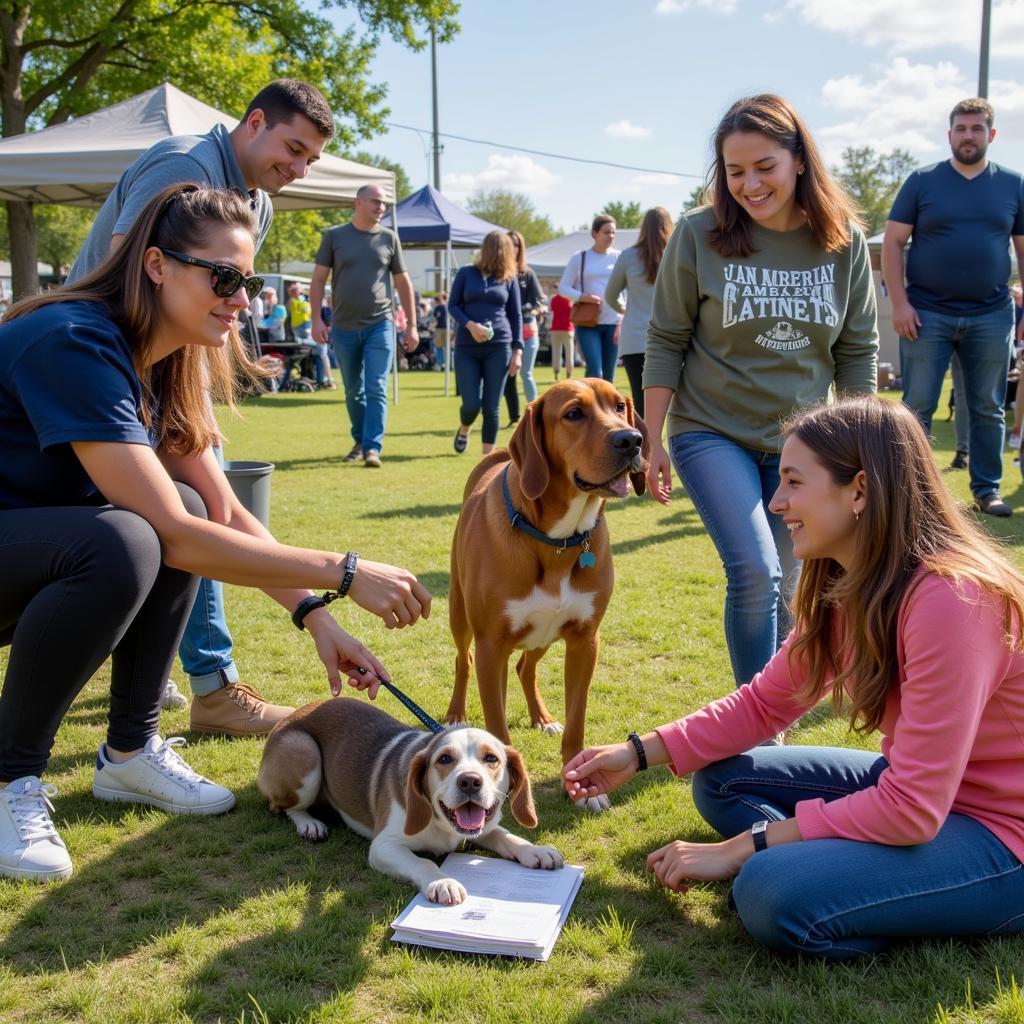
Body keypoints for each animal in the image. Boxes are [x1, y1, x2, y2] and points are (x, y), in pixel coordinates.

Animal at [446, 380, 647, 811]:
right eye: (573, 414)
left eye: (620, 407)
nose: (632, 440)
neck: (557, 540)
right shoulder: (492, 646)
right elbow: (496, 724)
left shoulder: (585, 640)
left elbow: (577, 721)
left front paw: (584, 788)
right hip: (459, 612)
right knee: (462, 659)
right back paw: (455, 713)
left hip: (543, 632)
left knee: (527, 667)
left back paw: (542, 717)